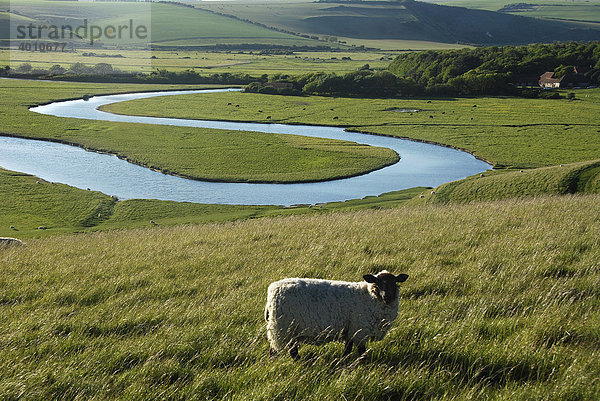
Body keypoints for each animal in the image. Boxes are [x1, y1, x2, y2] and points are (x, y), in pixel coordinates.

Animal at [266, 270, 410, 358]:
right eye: (378, 283)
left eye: (394, 282)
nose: (387, 296)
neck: (369, 296)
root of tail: (272, 291)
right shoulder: (359, 330)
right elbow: (361, 352)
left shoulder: (350, 331)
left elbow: (347, 350)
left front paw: (344, 361)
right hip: (282, 328)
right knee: (280, 351)